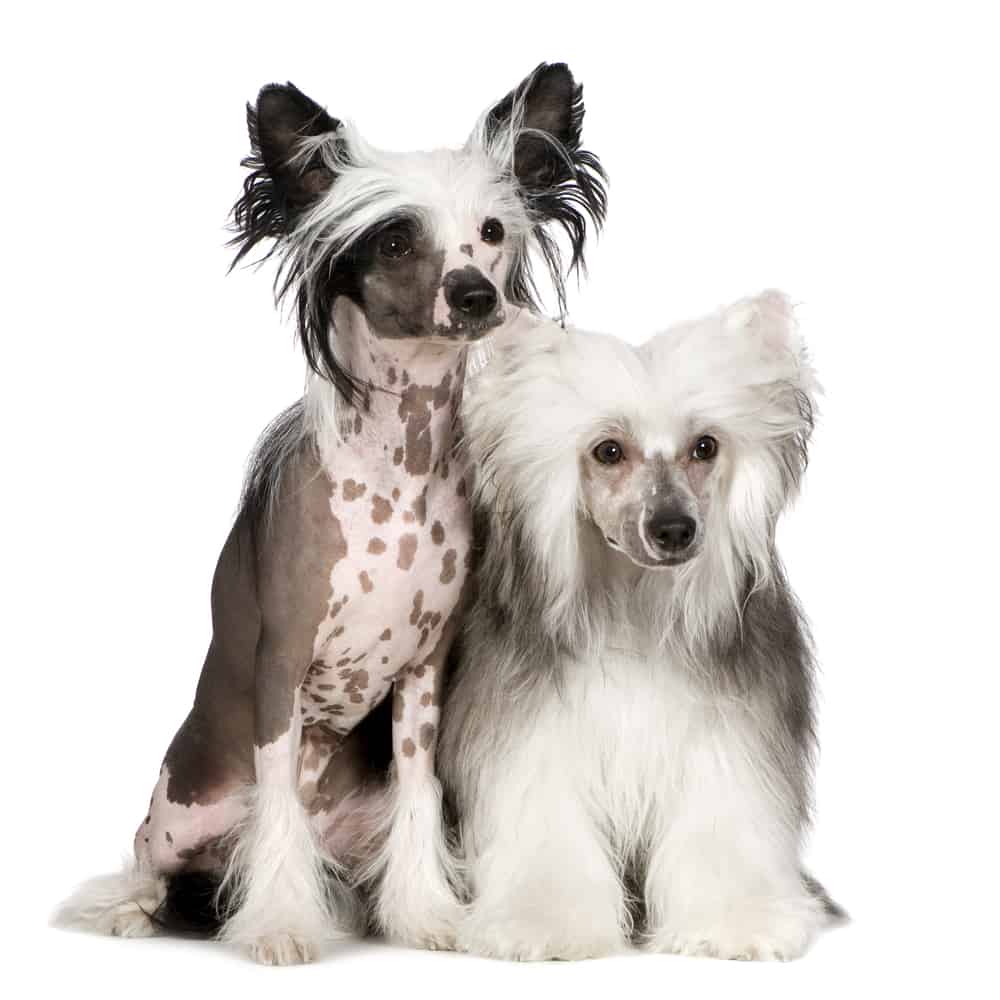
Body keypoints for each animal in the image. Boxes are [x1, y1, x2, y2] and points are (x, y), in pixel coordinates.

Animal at [58, 60, 604, 960]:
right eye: (396, 241)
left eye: (491, 230)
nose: (473, 293)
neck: (396, 473)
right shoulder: (281, 663)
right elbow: (277, 808)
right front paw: (280, 928)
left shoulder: (424, 676)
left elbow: (420, 795)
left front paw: (426, 916)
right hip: (180, 813)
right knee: (154, 864)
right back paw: (133, 910)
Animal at [444, 292, 844, 960]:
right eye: (608, 450)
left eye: (705, 446)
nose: (674, 528)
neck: (635, 604)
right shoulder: (535, 742)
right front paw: (545, 922)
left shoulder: (725, 742)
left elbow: (723, 828)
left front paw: (736, 921)